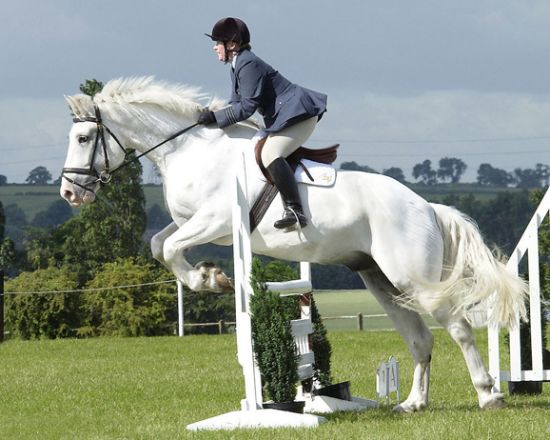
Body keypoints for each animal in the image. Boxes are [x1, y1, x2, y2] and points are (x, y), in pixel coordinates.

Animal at [61, 76, 532, 412]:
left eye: (83, 139)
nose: (69, 193)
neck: (187, 150)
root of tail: (426, 206)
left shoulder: (216, 220)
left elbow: (173, 249)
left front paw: (212, 280)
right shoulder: (189, 222)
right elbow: (160, 246)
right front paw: (209, 277)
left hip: (413, 278)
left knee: (458, 328)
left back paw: (489, 395)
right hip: (381, 279)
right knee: (420, 340)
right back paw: (414, 403)